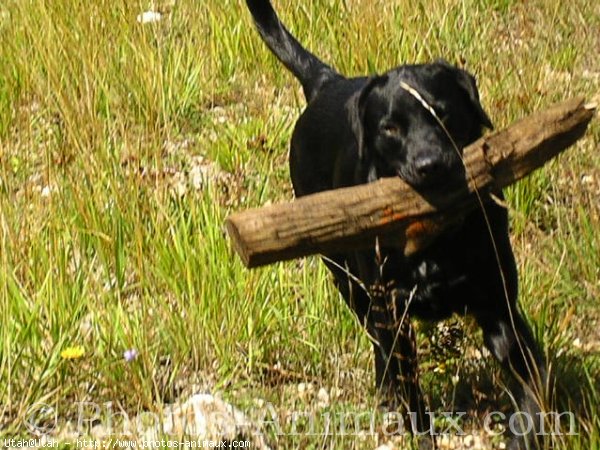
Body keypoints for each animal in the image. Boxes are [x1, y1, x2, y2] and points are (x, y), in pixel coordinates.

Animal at [245, 1, 548, 448]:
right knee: (376, 344)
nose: (429, 164)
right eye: (390, 128)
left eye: (442, 113)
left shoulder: (498, 304)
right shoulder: (392, 313)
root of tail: (327, 82)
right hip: (349, 281)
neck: (435, 240)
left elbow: (528, 381)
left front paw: (525, 431)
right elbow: (412, 395)